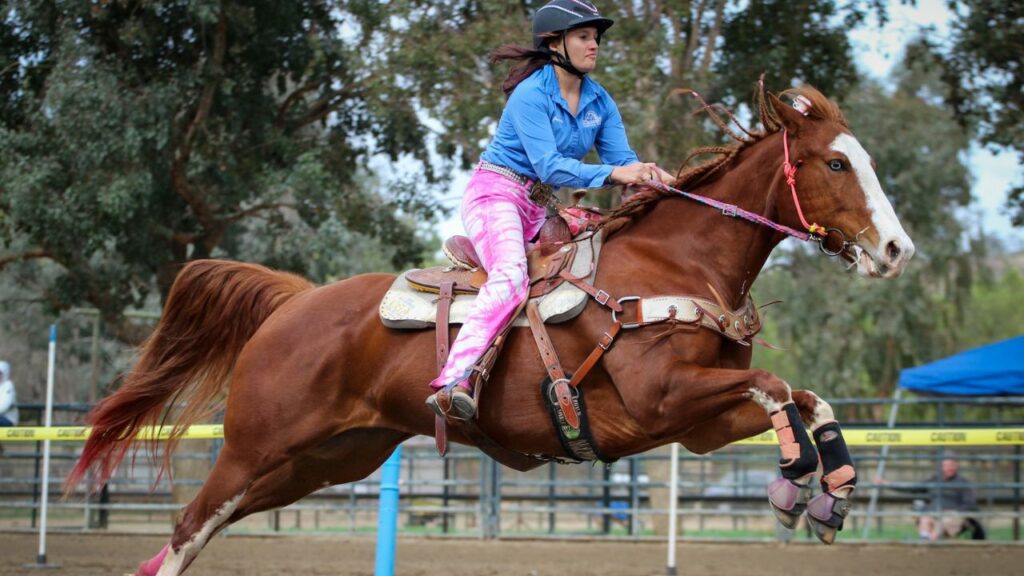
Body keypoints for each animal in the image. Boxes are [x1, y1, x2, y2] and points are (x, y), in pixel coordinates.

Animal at [67, 83, 914, 575]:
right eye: (836, 164)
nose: (898, 250)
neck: (677, 263)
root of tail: (292, 304)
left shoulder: (697, 426)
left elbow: (806, 398)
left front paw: (831, 494)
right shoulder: (665, 399)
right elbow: (776, 387)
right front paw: (794, 482)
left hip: (320, 461)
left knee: (199, 531)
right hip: (255, 448)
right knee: (188, 526)